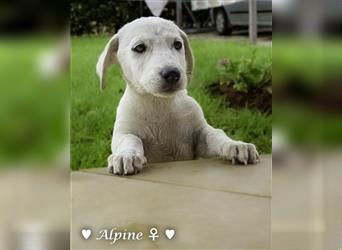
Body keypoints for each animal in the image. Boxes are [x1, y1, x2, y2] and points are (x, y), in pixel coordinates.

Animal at [96, 16, 260, 175]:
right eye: (139, 47)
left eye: (177, 44)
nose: (172, 74)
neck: (159, 104)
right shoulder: (123, 132)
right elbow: (130, 139)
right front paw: (126, 155)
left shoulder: (199, 135)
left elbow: (215, 134)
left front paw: (235, 145)